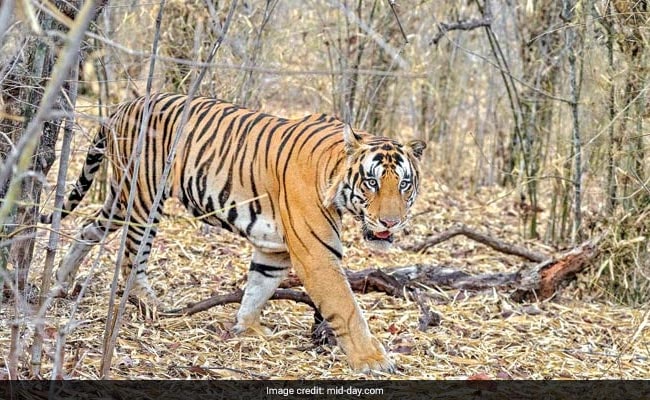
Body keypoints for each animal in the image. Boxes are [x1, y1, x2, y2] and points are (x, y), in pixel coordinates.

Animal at [41, 93, 426, 372]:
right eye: (372, 182)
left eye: (404, 184)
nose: (391, 223)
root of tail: (125, 104)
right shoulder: (317, 255)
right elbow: (347, 309)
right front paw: (373, 360)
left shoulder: (274, 249)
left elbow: (258, 287)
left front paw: (247, 328)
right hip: (143, 199)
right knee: (133, 255)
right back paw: (147, 304)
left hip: (120, 201)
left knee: (88, 227)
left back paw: (61, 280)